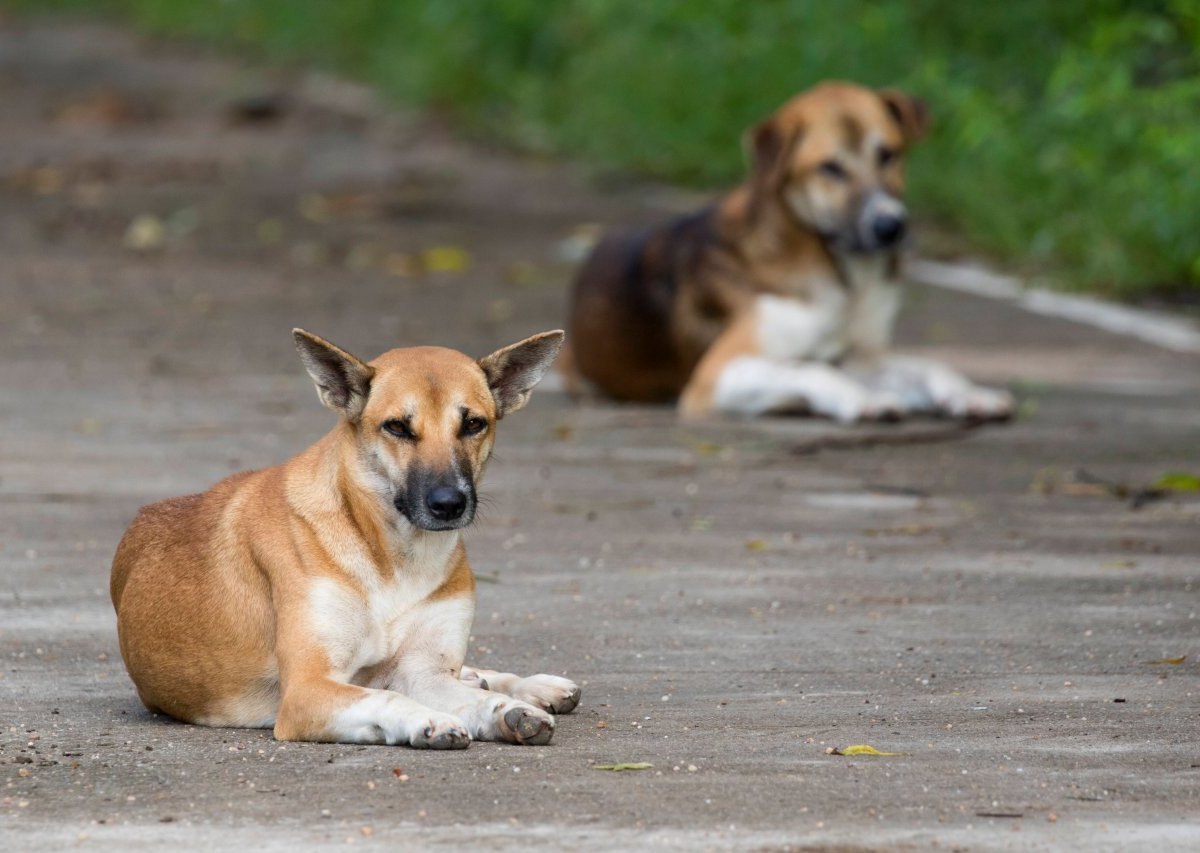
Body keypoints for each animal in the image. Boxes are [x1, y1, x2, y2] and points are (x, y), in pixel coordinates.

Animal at [110, 328, 578, 748]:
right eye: (397, 427)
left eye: (473, 424)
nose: (449, 503)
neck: (396, 559)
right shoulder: (308, 690)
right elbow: (388, 698)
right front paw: (428, 718)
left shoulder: (424, 671)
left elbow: (459, 694)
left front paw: (508, 710)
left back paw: (531, 686)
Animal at [561, 81, 1012, 422]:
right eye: (830, 168)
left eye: (889, 154)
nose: (890, 226)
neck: (841, 277)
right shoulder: (717, 373)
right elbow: (808, 368)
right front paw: (863, 399)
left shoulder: (857, 355)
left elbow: (928, 364)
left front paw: (968, 393)